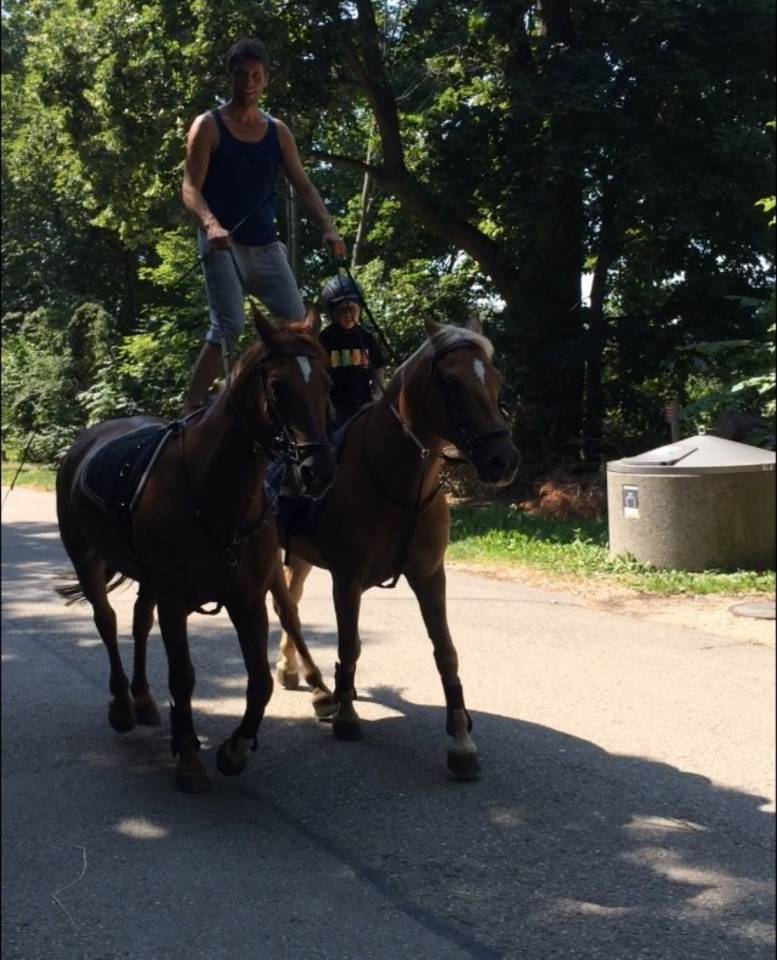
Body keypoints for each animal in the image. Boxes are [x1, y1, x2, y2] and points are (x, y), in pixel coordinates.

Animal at [55, 307, 336, 793]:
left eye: (326, 382)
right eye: (279, 386)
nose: (317, 470)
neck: (216, 491)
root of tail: (85, 441)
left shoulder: (247, 599)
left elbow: (260, 680)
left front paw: (235, 750)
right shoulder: (174, 600)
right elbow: (183, 676)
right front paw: (188, 755)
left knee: (138, 621)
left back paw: (144, 700)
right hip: (86, 558)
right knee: (107, 623)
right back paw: (123, 705)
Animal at [271, 316, 519, 779]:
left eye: (495, 379)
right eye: (452, 381)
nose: (504, 460)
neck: (397, 482)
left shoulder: (430, 576)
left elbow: (446, 653)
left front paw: (461, 741)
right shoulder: (346, 580)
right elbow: (349, 646)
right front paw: (347, 716)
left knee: (289, 602)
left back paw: (293, 671)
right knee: (285, 606)